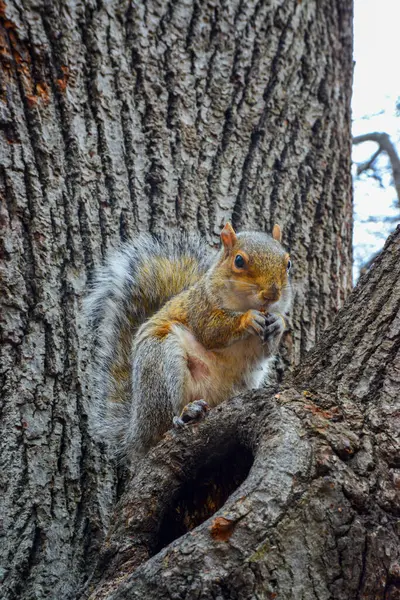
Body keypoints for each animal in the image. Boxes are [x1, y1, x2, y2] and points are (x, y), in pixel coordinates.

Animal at [85, 223, 290, 462]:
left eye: (288, 263)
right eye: (239, 261)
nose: (272, 293)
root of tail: (136, 433)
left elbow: (264, 352)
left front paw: (278, 322)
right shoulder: (200, 307)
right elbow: (211, 331)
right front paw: (247, 318)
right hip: (161, 360)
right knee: (164, 422)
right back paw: (186, 413)